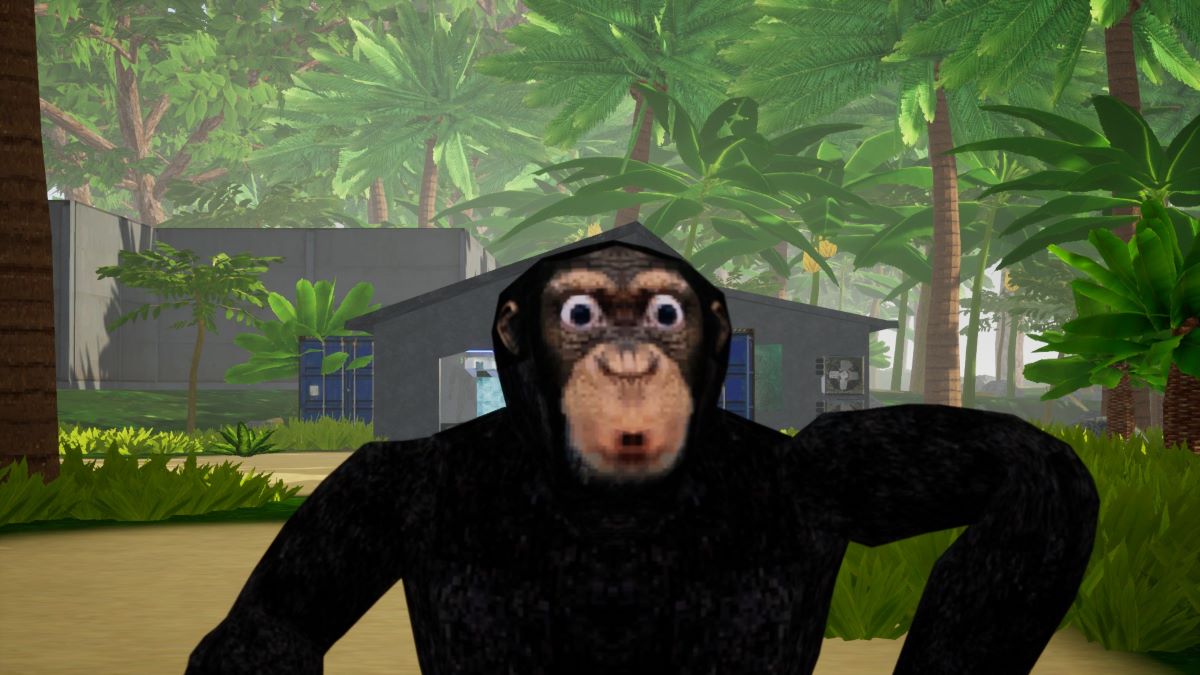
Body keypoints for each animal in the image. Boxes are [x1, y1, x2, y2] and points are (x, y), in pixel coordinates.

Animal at [187, 239, 1099, 675]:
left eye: (665, 313)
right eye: (582, 313)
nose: (628, 361)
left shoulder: (823, 465)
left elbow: (1031, 471)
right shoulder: (383, 479)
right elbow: (273, 624)